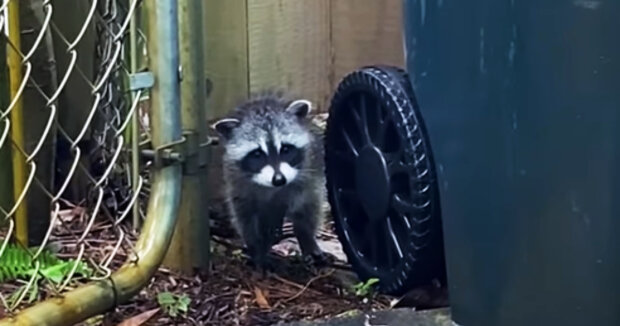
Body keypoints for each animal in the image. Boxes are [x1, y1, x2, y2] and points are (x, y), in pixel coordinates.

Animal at [212, 92, 332, 272]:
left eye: (286, 149)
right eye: (257, 154)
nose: (279, 179)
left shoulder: (308, 172)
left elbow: (304, 206)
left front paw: (304, 234)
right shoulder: (238, 183)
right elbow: (245, 216)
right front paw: (257, 248)